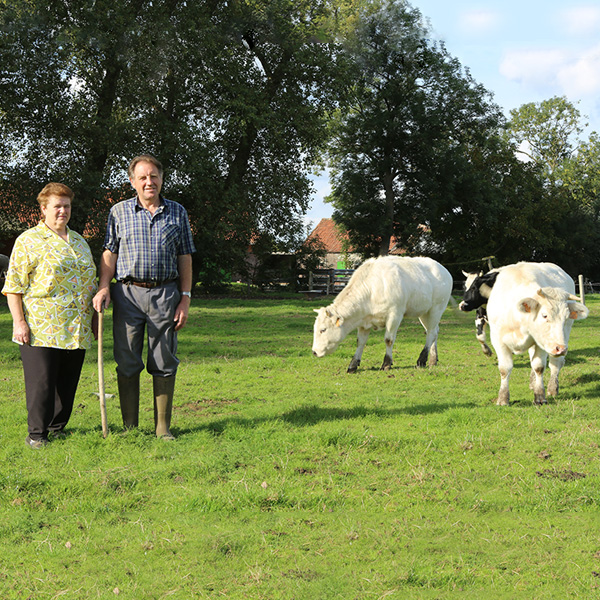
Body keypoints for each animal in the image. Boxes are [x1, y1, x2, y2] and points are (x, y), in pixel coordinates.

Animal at [312, 256, 452, 372]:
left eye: (323, 330)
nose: (314, 352)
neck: (371, 290)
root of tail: (443, 269)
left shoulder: (394, 315)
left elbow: (388, 340)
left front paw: (386, 363)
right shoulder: (364, 321)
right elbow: (360, 342)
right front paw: (353, 364)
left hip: (436, 308)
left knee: (431, 333)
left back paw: (421, 360)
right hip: (424, 313)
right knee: (433, 331)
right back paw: (433, 359)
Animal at [486, 262, 588, 406]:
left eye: (566, 316)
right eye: (544, 315)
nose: (561, 348)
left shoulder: (542, 343)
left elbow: (539, 366)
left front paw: (540, 396)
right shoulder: (497, 339)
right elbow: (505, 369)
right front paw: (503, 398)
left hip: (562, 337)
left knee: (555, 364)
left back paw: (552, 388)